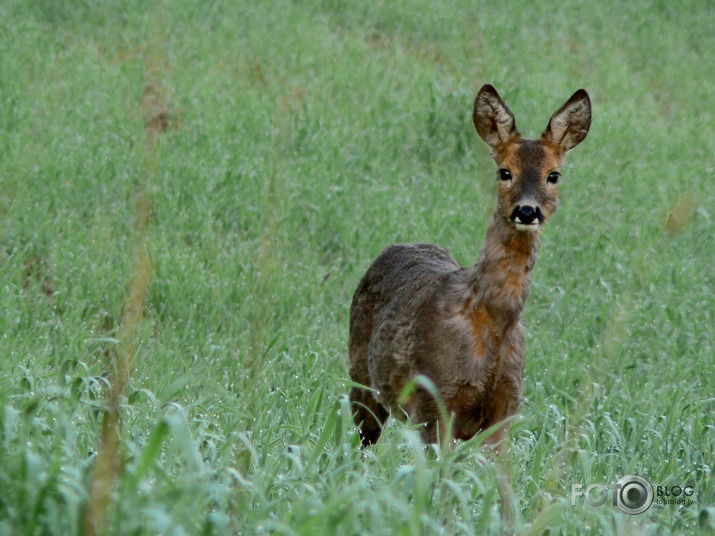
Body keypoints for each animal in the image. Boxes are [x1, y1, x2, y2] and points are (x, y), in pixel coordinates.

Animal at [348, 86, 592, 448]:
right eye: (504, 171)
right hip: (361, 376)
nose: (527, 211)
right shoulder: (434, 400)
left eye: (553, 175)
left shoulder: (505, 407)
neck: (490, 323)